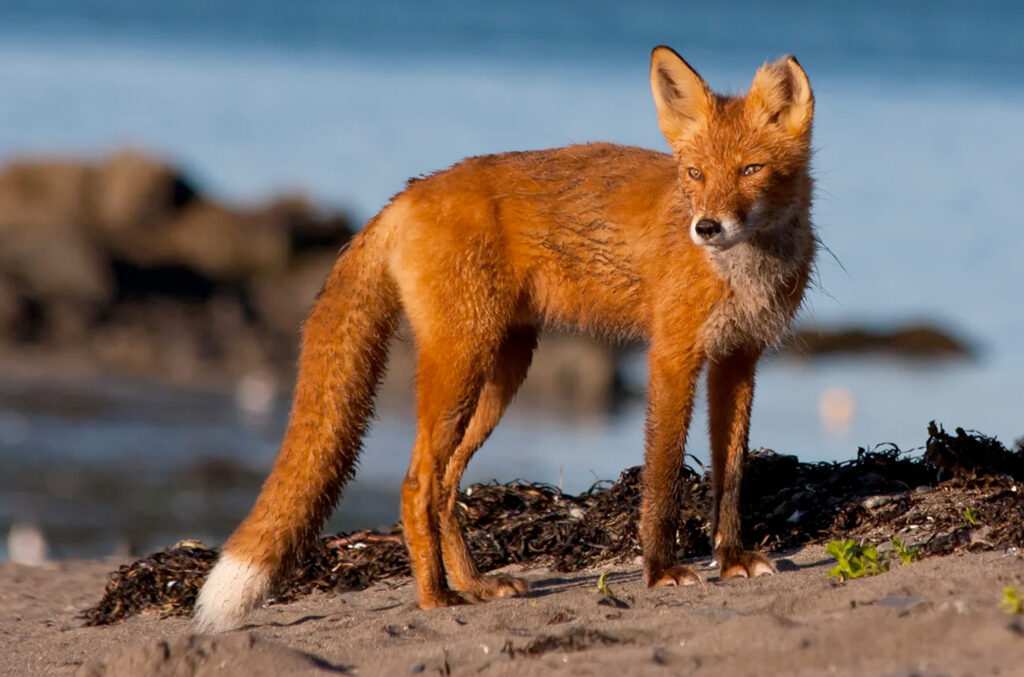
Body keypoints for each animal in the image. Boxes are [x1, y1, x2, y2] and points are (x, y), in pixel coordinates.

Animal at [194, 46, 816, 630]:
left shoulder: (738, 360)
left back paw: (473, 584)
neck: (745, 272)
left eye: (751, 169)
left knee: (446, 488)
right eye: (694, 174)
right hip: (461, 367)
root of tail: (407, 194)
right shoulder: (672, 356)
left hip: (502, 373)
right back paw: (434, 596)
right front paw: (661, 570)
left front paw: (732, 559)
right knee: (416, 483)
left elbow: (730, 475)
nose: (706, 228)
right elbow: (662, 477)